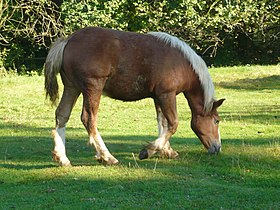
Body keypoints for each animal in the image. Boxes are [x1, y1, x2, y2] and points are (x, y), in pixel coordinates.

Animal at [44, 27, 225, 167]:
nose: (217, 148)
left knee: (62, 115)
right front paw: (148, 151)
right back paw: (107, 156)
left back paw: (63, 158)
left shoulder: (158, 97)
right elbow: (173, 124)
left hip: (72, 88)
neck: (181, 63)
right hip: (93, 88)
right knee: (89, 119)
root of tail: (68, 40)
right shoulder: (167, 95)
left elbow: (163, 123)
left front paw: (166, 150)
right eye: (216, 121)